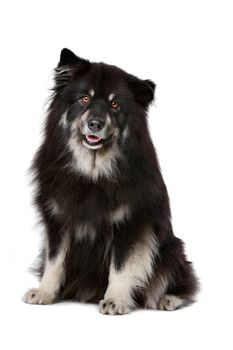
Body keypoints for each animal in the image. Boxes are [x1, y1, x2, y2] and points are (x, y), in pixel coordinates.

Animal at [23, 49, 198, 314]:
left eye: (115, 104)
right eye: (85, 98)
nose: (95, 124)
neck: (93, 173)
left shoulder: (129, 224)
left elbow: (121, 267)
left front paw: (115, 300)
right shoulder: (57, 220)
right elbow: (54, 261)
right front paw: (45, 292)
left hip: (171, 249)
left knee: (178, 279)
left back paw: (167, 299)